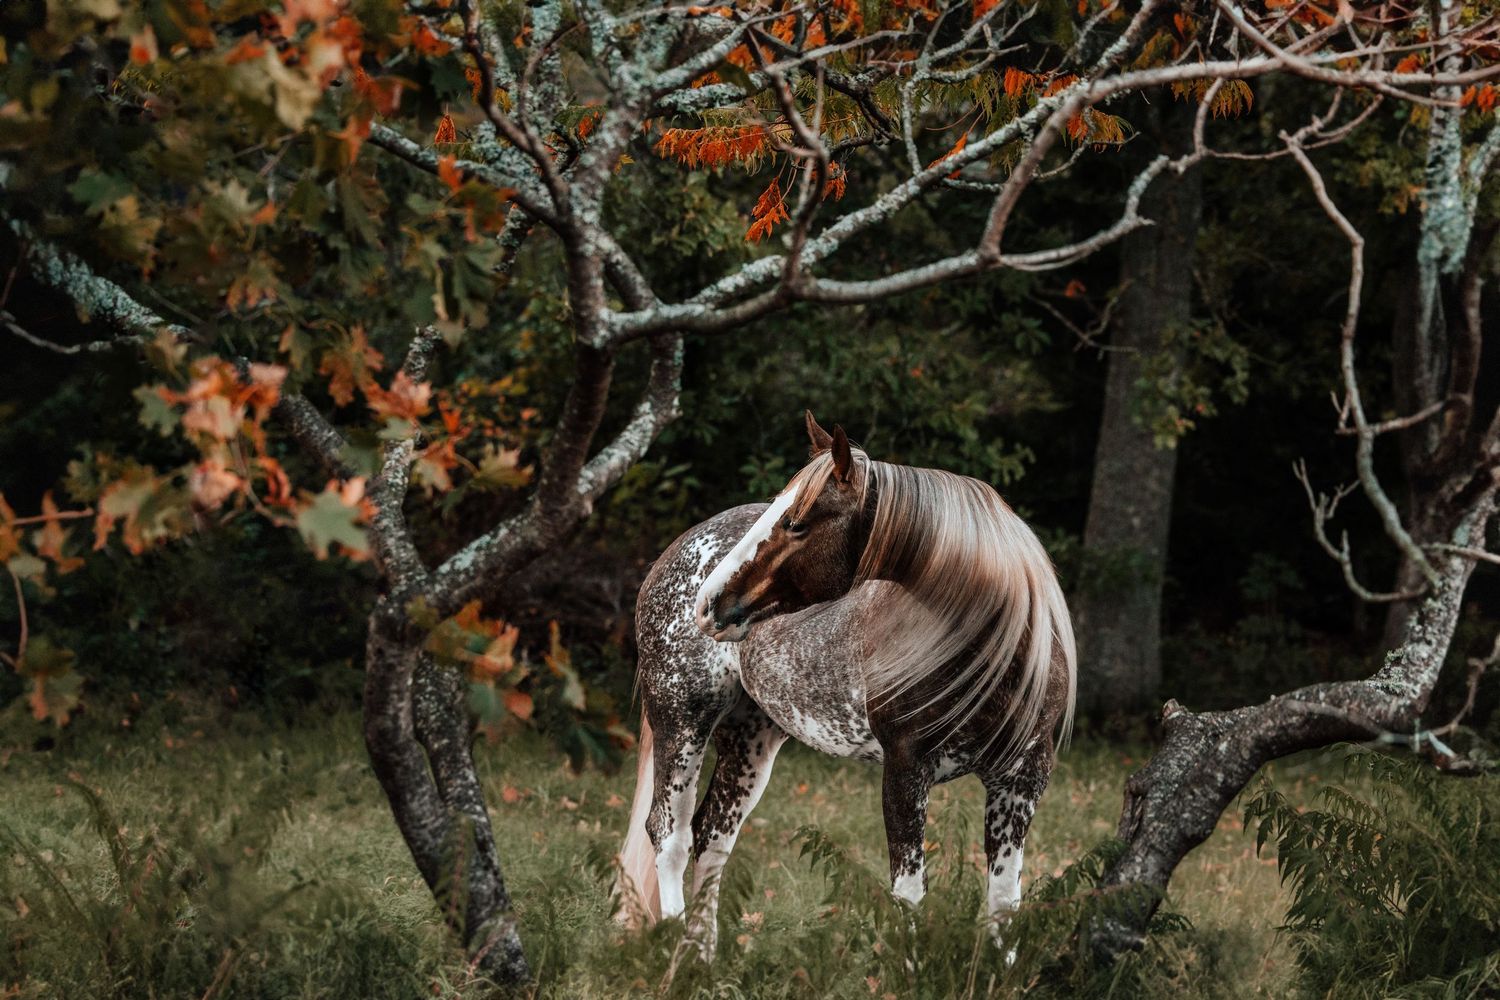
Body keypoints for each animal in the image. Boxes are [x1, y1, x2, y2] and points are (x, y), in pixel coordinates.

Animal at [616, 411, 1076, 960]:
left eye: (796, 523)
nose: (707, 603)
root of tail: (672, 554)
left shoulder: (1022, 782)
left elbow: (1004, 901)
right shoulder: (905, 771)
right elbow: (909, 893)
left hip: (751, 740)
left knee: (712, 838)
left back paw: (703, 958)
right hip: (683, 723)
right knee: (670, 837)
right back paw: (680, 956)